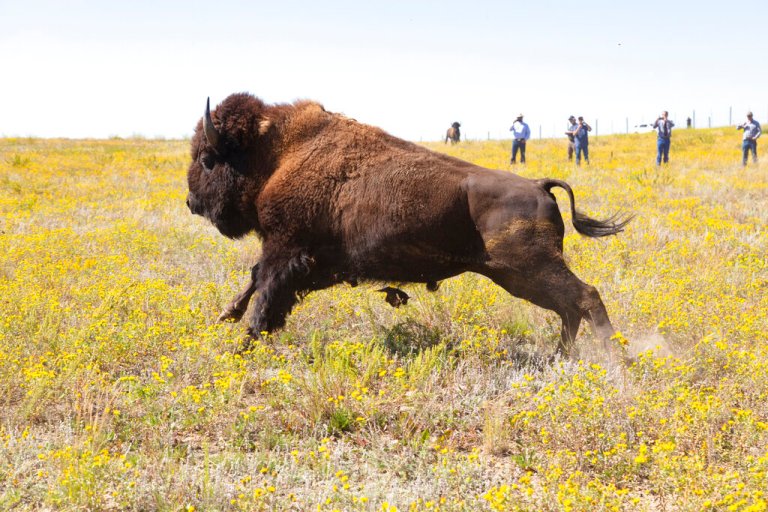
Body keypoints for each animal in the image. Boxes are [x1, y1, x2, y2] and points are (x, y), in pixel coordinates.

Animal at [186, 93, 631, 356]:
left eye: (208, 159)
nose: (192, 202)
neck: (279, 155)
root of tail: (539, 185)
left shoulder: (286, 250)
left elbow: (265, 292)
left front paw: (242, 344)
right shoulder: (307, 261)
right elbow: (255, 281)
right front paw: (226, 319)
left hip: (528, 269)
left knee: (585, 297)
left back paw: (616, 358)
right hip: (518, 276)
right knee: (569, 306)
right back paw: (563, 357)